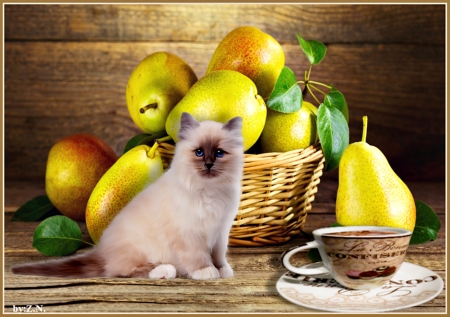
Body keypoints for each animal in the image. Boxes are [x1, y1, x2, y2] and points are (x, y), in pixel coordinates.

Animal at [11, 111, 243, 278]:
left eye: (219, 153)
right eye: (199, 152)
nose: (209, 165)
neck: (209, 190)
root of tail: (101, 250)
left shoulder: (220, 231)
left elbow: (218, 255)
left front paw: (222, 270)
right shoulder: (189, 234)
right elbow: (198, 257)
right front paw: (206, 272)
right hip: (141, 249)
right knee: (123, 271)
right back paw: (164, 271)